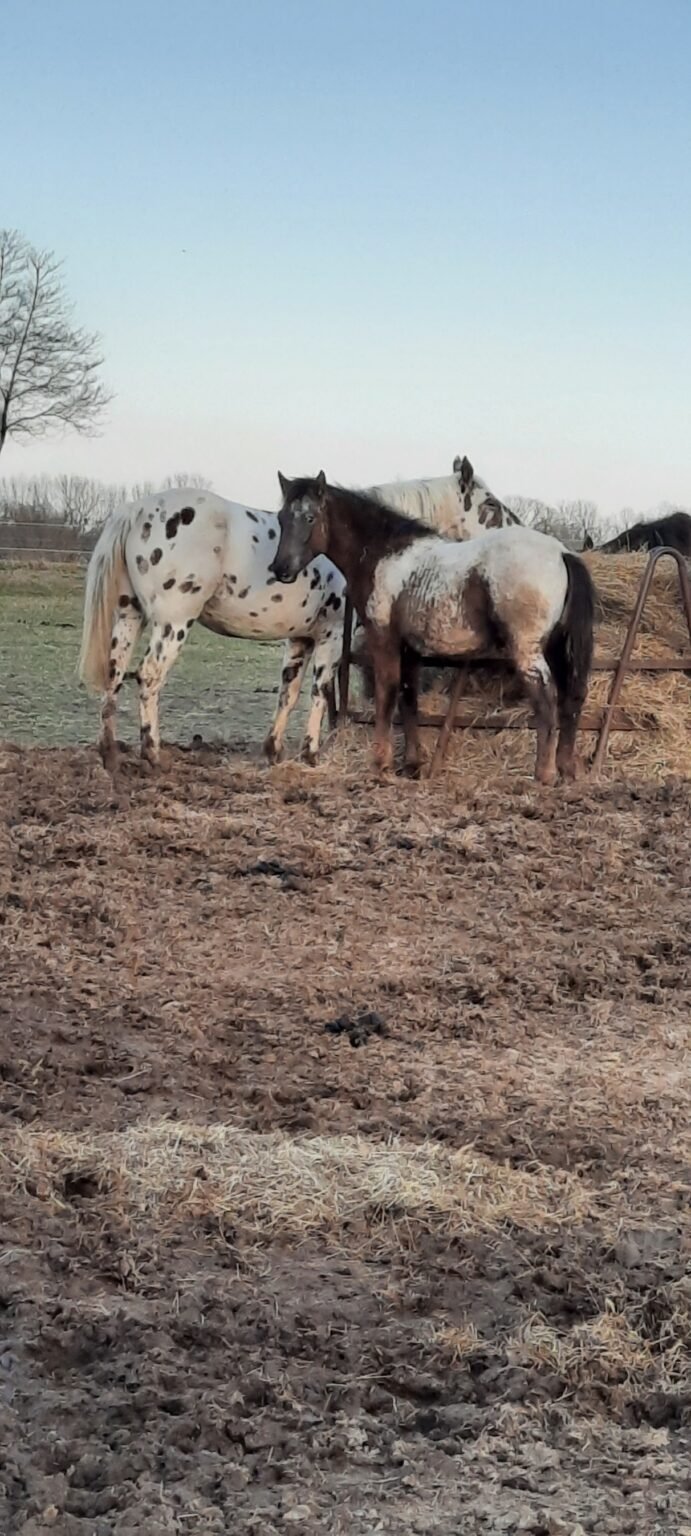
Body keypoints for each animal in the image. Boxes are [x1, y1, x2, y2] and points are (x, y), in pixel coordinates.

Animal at [79, 458, 517, 771]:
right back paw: (152, 754)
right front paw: (311, 753)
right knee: (149, 677)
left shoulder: (300, 638)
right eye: (490, 504)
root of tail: (136, 510)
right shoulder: (330, 638)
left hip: (129, 617)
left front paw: (274, 751)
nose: (515, 533)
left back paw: (109, 754)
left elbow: (287, 693)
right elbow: (320, 691)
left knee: (115, 676)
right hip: (172, 624)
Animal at [270, 473, 595, 786]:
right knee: (570, 699)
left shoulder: (384, 640)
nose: (280, 569)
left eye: (310, 517)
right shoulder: (410, 649)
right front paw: (412, 765)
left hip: (528, 651)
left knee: (547, 701)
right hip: (556, 649)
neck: (386, 554)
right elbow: (408, 699)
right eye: (281, 518)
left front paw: (380, 764)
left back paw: (544, 774)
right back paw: (566, 770)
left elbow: (387, 694)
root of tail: (562, 553)